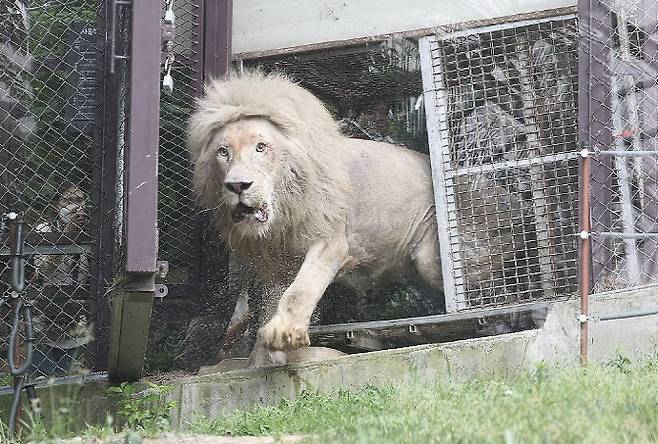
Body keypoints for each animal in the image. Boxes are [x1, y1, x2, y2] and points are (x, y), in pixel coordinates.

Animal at [188, 71, 516, 366]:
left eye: (261, 147)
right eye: (223, 152)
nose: (237, 186)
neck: (284, 213)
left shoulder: (329, 240)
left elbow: (301, 289)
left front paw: (285, 335)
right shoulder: (275, 264)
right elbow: (272, 303)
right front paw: (265, 354)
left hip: (435, 258)